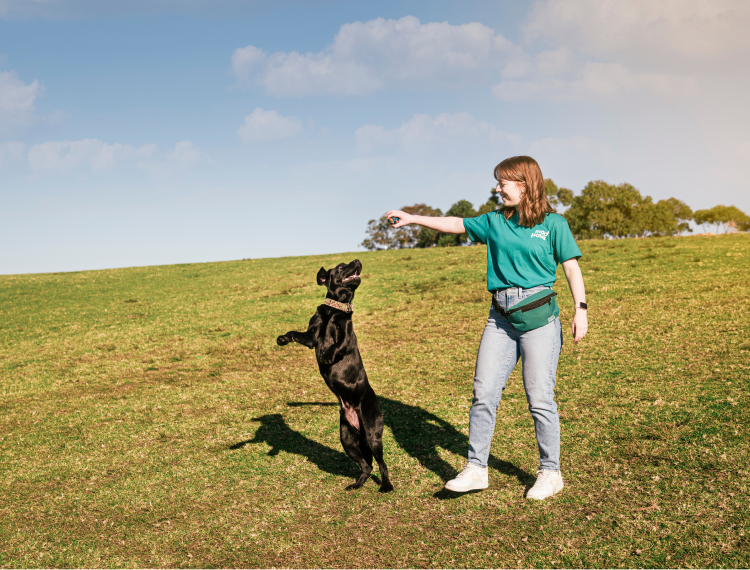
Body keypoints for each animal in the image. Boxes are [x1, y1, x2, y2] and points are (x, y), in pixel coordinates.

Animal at [276, 260, 394, 490]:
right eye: (340, 266)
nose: (357, 261)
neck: (333, 312)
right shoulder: (311, 336)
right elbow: (295, 333)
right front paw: (283, 339)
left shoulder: (346, 337)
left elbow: (336, 346)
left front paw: (327, 357)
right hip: (347, 439)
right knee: (367, 466)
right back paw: (357, 485)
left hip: (373, 435)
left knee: (382, 464)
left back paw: (386, 486)